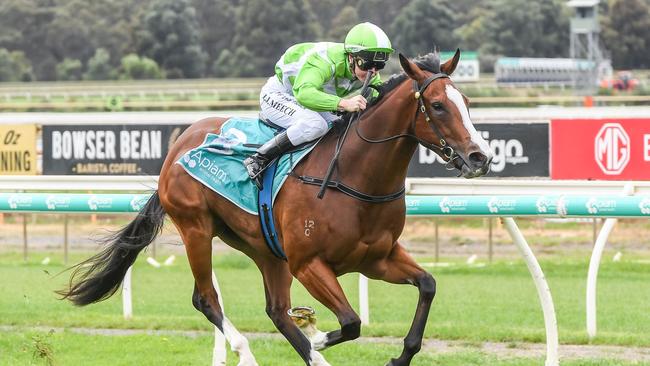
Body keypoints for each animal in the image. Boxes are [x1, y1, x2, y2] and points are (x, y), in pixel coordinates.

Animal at [60, 50, 492, 364]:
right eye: (437, 105)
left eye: (468, 102)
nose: (480, 157)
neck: (355, 178)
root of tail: (179, 145)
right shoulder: (309, 263)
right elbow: (351, 322)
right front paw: (316, 336)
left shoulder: (377, 258)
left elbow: (427, 286)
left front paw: (396, 356)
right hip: (196, 228)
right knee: (207, 299)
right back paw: (247, 353)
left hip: (265, 249)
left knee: (276, 310)